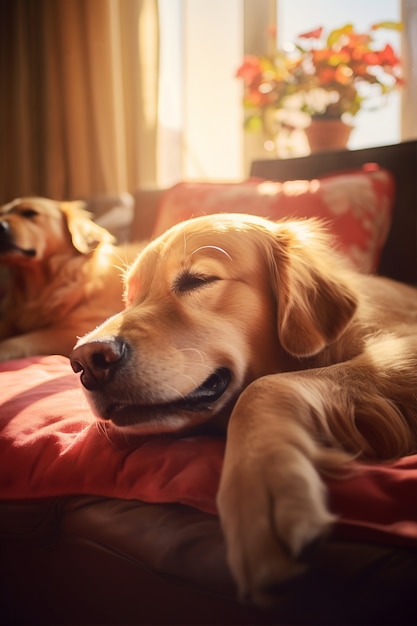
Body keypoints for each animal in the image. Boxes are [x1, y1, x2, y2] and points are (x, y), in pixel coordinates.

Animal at [70, 213, 416, 604]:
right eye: (129, 298)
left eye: (198, 280)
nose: (86, 361)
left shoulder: (400, 352)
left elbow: (262, 386)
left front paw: (260, 488)